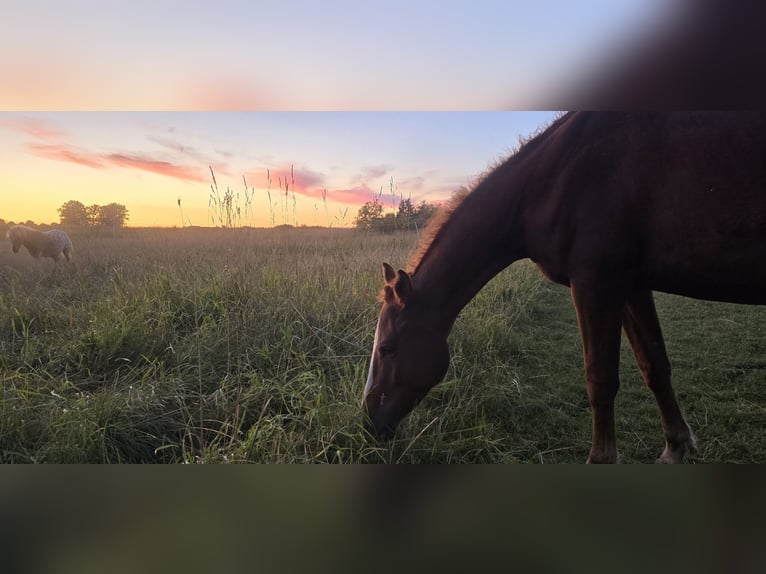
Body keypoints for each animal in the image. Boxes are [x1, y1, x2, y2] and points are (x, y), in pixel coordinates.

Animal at [363, 111, 766, 463]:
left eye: (387, 348)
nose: (369, 423)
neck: (554, 178)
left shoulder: (594, 283)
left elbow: (600, 380)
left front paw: (601, 459)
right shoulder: (631, 286)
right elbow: (654, 365)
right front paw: (675, 447)